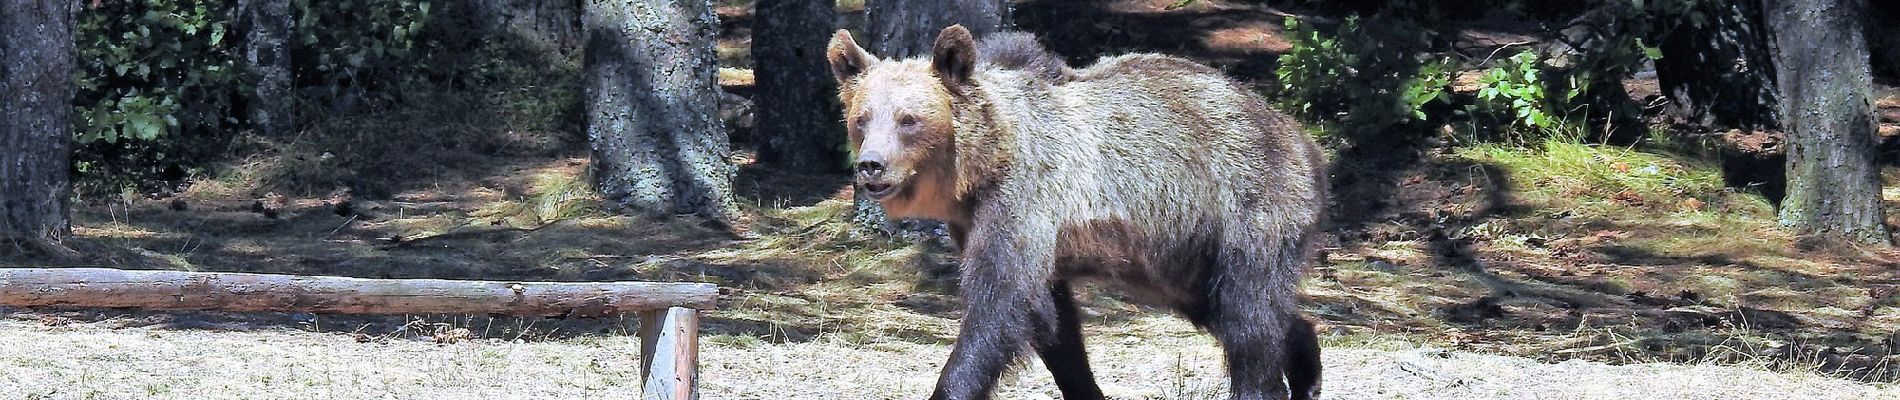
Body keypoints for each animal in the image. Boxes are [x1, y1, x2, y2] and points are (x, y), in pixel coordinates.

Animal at [824, 25, 1330, 400]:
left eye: (909, 119)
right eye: (862, 118)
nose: (871, 165)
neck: (983, 164)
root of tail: (1301, 138)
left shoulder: (1024, 200)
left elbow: (998, 307)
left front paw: (953, 384)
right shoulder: (980, 224)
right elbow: (1052, 323)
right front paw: (1083, 386)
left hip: (1247, 205)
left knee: (1248, 317)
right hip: (1184, 255)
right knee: (1237, 310)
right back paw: (1306, 365)